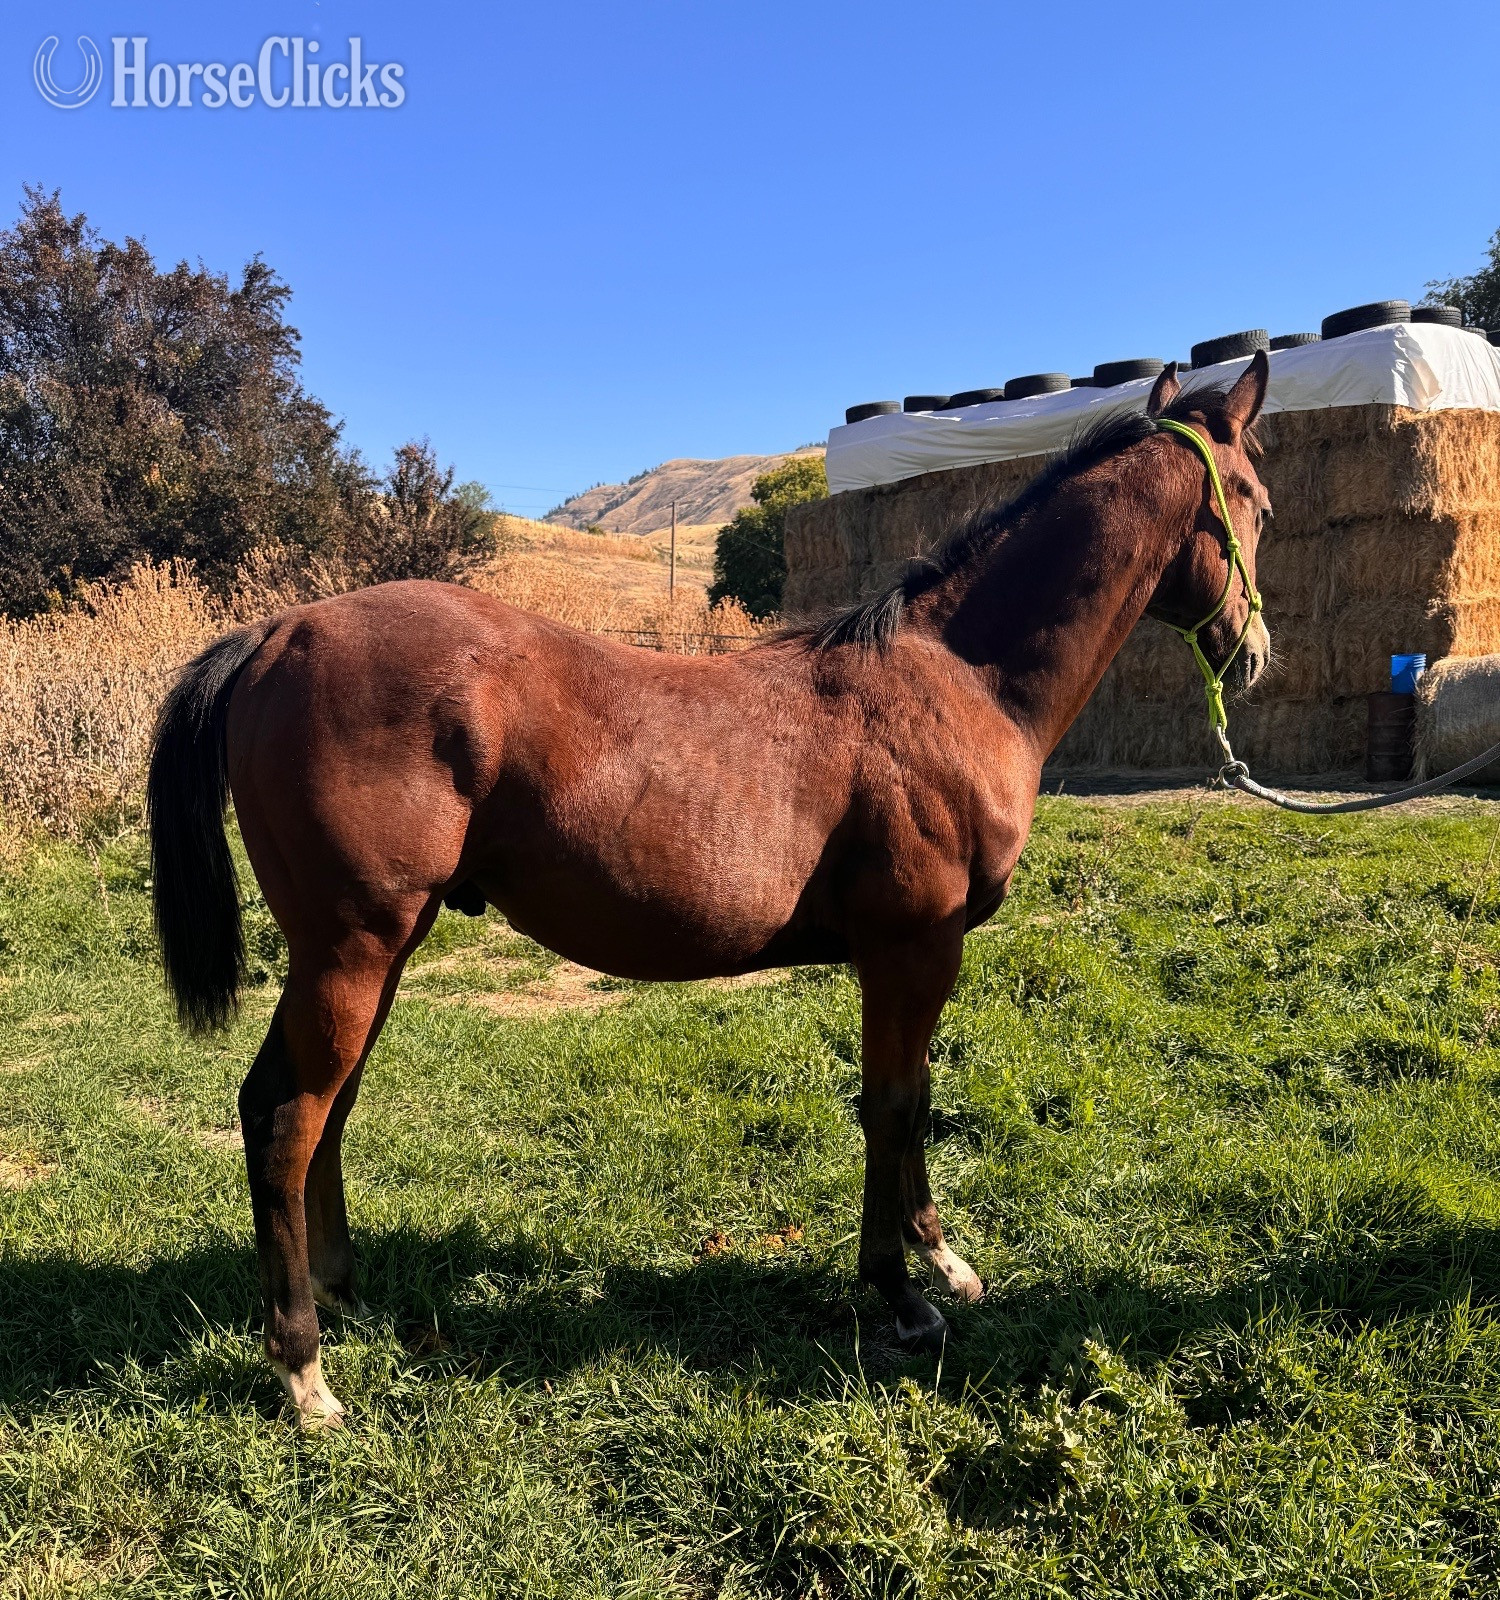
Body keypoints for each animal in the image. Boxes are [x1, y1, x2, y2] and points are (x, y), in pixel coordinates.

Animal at [146, 354, 1272, 1427]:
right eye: (1258, 501)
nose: (1255, 653)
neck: (956, 679)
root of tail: (279, 632)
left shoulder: (911, 957)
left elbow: (911, 1099)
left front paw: (939, 1258)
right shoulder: (913, 948)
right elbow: (893, 1105)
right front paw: (900, 1293)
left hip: (374, 956)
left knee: (319, 1111)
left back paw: (344, 1294)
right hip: (352, 952)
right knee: (285, 1118)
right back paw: (304, 1373)